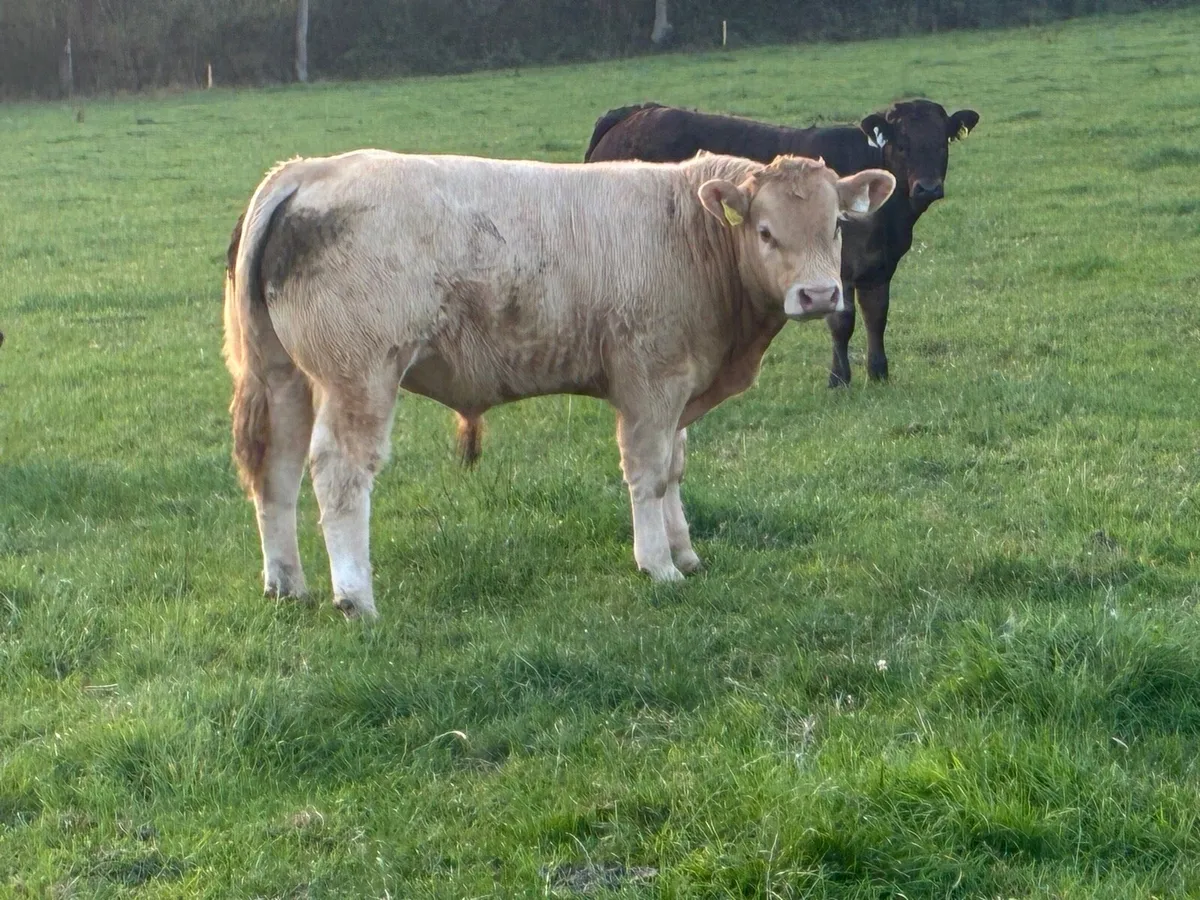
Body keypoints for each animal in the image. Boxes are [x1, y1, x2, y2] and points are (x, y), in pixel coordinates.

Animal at [224, 150, 894, 619]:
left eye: (836, 225)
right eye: (764, 230)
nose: (819, 295)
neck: (689, 235)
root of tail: (308, 170)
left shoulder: (678, 390)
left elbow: (674, 469)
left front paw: (685, 551)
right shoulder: (651, 383)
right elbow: (649, 473)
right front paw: (658, 565)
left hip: (282, 375)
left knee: (276, 469)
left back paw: (287, 584)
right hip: (358, 376)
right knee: (338, 473)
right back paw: (355, 597)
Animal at [584, 99, 980, 386]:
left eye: (941, 141)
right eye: (902, 143)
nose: (927, 187)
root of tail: (631, 114)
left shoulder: (879, 269)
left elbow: (876, 317)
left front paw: (879, 373)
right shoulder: (836, 268)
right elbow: (843, 322)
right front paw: (839, 379)